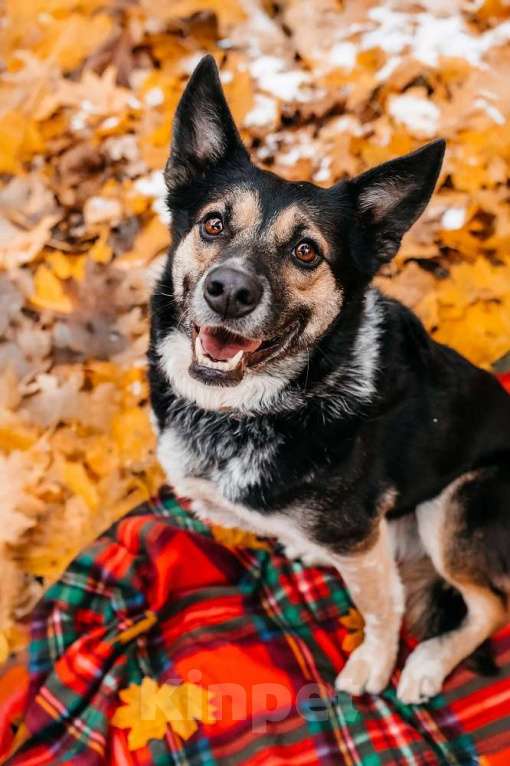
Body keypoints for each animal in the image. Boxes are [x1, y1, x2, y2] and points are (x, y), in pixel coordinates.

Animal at [149, 57, 510, 704]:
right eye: (213, 225)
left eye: (306, 252)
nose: (229, 291)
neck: (249, 409)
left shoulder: (359, 538)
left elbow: (382, 607)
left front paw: (375, 663)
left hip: (454, 502)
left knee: (490, 606)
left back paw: (428, 662)